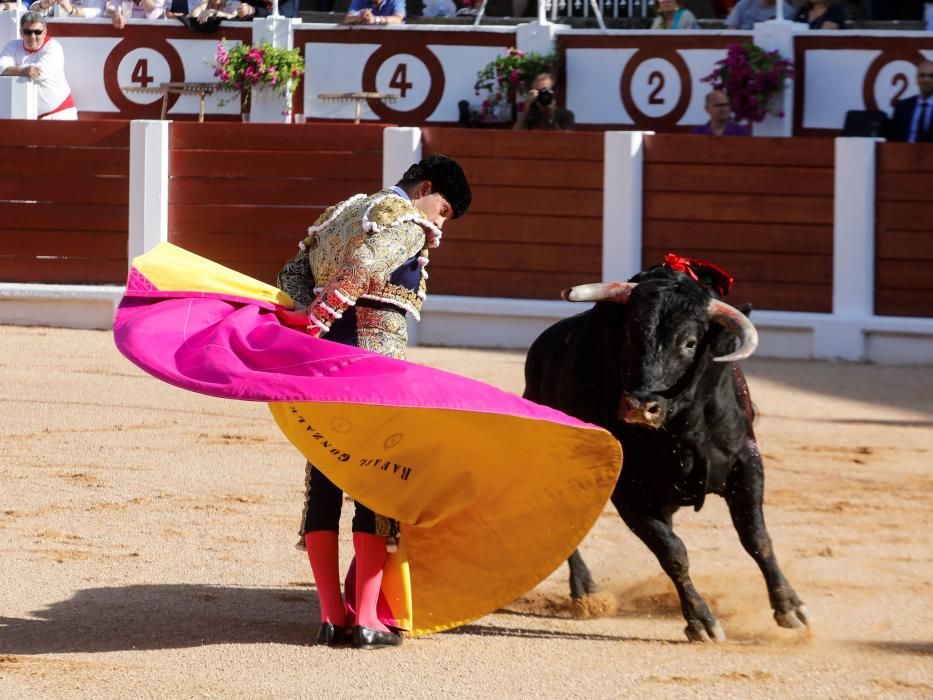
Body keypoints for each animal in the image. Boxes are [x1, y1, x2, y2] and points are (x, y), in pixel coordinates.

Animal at [524, 266, 808, 640]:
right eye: (630, 336)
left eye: (689, 343)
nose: (638, 406)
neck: (680, 427)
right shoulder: (628, 487)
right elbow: (672, 551)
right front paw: (701, 621)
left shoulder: (745, 463)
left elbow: (757, 538)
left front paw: (789, 607)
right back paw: (586, 593)